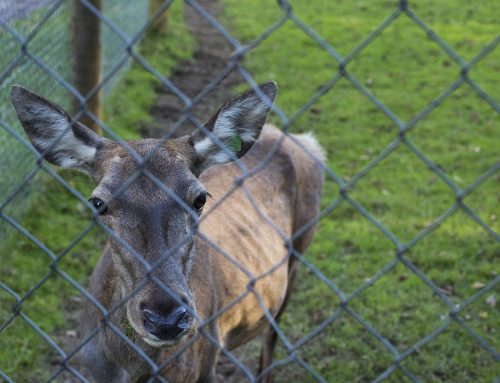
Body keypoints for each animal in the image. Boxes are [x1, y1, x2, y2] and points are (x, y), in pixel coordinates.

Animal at [11, 82, 326, 382]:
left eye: (200, 198)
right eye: (98, 202)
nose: (166, 320)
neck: (130, 368)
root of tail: (306, 141)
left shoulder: (205, 366)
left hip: (298, 254)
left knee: (271, 338)